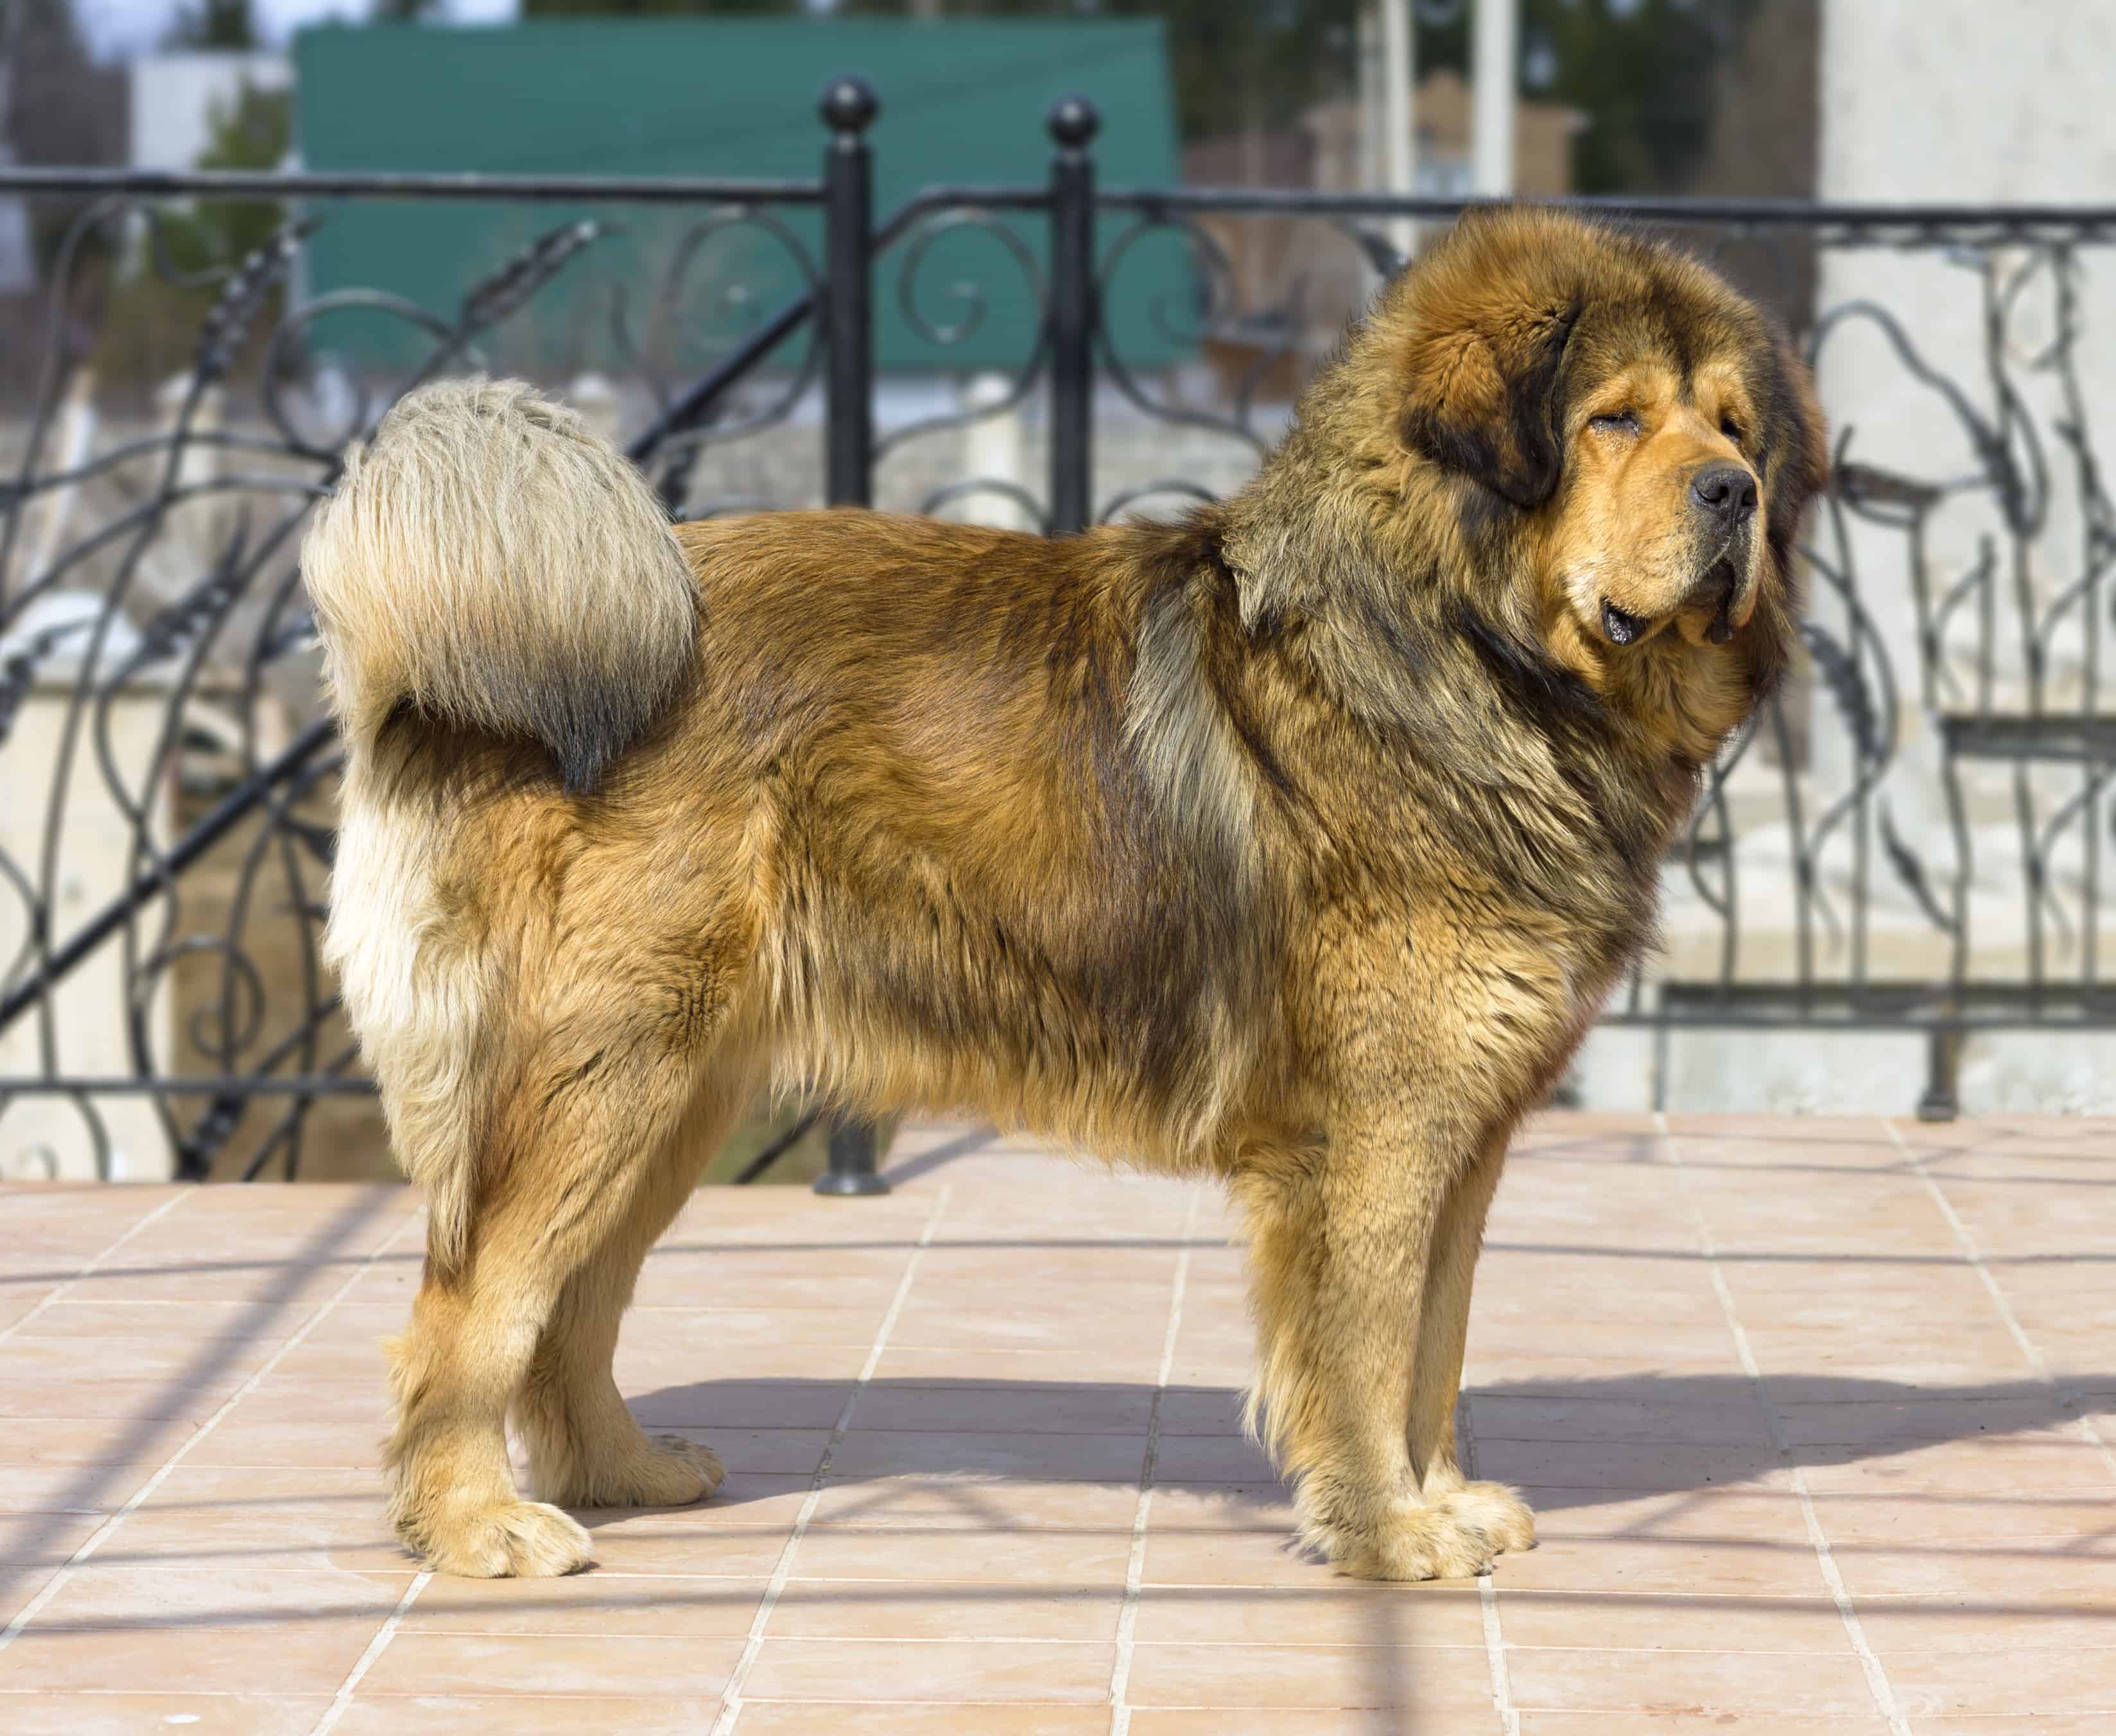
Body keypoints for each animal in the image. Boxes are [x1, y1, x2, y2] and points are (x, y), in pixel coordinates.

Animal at [306, 211, 1828, 1583]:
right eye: (1617, 420)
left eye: (1734, 427)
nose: (1735, 495)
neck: (1459, 650)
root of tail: (463, 686)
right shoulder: (1376, 1128)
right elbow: (1368, 1344)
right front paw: (1386, 1531)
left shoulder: (1465, 1124)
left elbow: (1435, 1343)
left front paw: (1435, 1498)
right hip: (603, 1073)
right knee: (468, 1303)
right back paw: (471, 1522)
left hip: (672, 1092)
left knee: (571, 1307)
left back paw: (618, 1470)